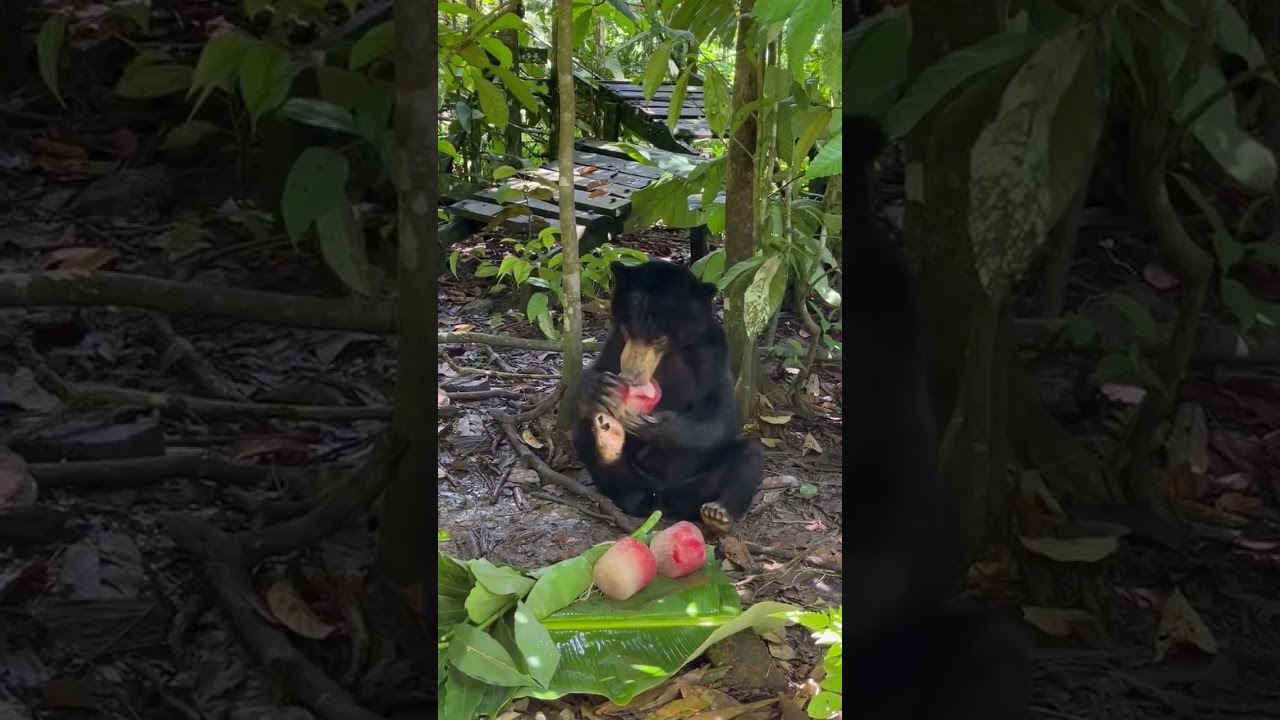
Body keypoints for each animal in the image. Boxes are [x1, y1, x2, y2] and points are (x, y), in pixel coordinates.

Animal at [571, 259, 764, 536]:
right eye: (627, 330)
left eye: (659, 338)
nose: (631, 377)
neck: (673, 351)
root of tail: (663, 498)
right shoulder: (615, 342)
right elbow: (598, 370)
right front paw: (596, 387)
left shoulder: (714, 348)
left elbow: (721, 413)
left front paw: (656, 426)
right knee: (583, 436)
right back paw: (611, 458)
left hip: (699, 483)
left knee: (749, 455)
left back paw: (718, 513)